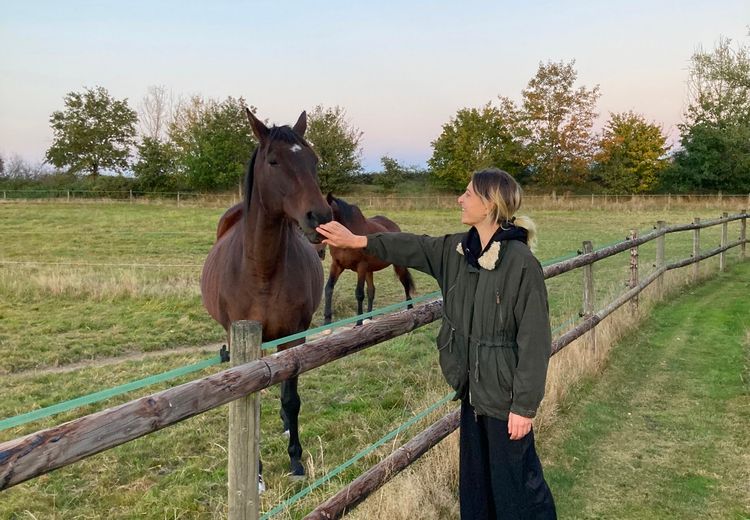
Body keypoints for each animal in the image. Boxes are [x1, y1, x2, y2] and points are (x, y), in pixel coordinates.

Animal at [200, 107, 332, 478]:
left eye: (314, 160)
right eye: (274, 161)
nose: (320, 217)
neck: (261, 270)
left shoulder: (294, 336)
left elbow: (291, 396)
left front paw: (296, 459)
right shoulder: (244, 340)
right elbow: (250, 397)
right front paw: (256, 473)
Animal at [324, 195, 418, 324]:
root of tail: (395, 226)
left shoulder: (361, 266)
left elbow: (359, 294)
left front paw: (358, 322)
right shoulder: (337, 265)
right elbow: (329, 288)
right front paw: (326, 322)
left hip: (397, 266)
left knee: (405, 283)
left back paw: (410, 307)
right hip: (369, 270)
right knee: (371, 291)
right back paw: (369, 317)